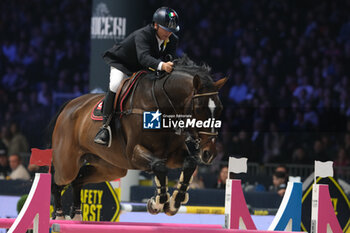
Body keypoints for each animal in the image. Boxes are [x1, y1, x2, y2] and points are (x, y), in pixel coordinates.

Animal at [51, 55, 227, 219]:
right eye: (199, 109)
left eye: (219, 109)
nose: (209, 153)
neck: (162, 106)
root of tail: (69, 106)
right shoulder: (134, 154)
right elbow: (159, 166)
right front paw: (157, 203)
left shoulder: (172, 155)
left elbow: (189, 164)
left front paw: (174, 203)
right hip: (68, 164)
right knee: (58, 182)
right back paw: (59, 215)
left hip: (110, 167)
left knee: (78, 180)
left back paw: (76, 215)